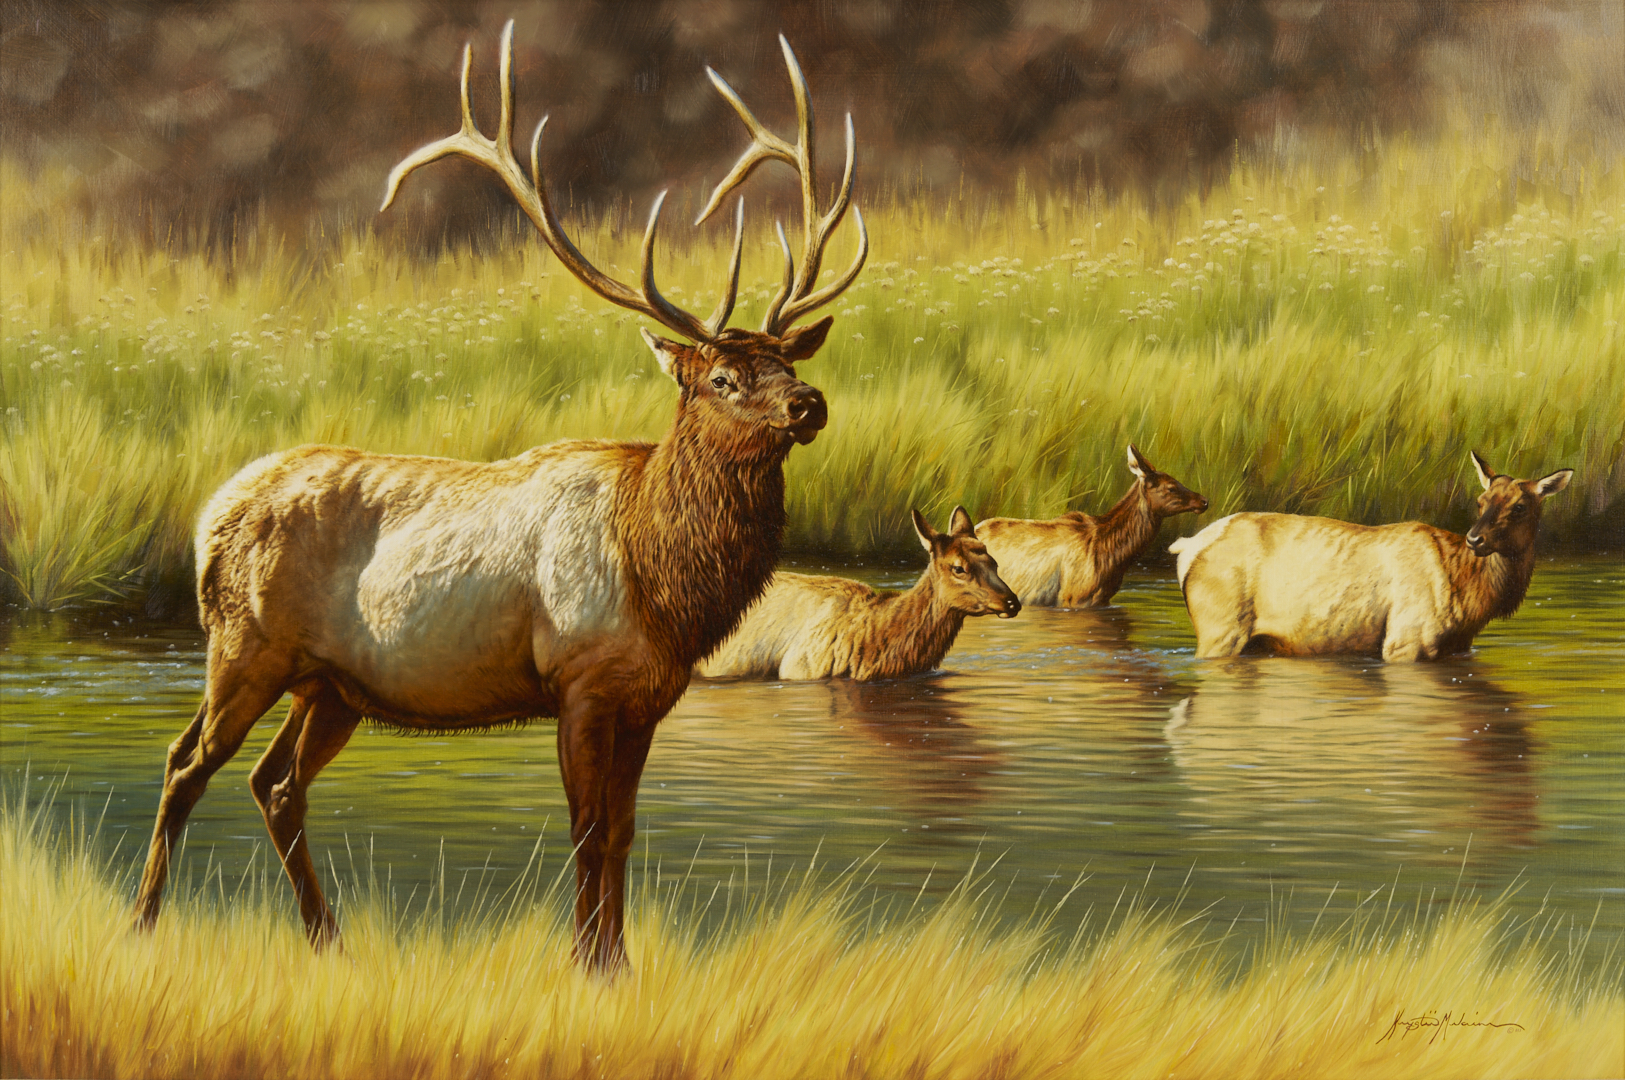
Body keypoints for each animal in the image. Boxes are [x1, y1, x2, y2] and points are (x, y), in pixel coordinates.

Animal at [131, 22, 867, 972]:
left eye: (788, 360)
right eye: (724, 377)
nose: (808, 404)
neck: (660, 578)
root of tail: (208, 515)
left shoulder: (650, 693)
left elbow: (622, 832)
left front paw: (618, 964)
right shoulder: (579, 678)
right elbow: (587, 830)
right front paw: (586, 965)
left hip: (329, 686)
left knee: (274, 782)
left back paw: (329, 939)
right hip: (244, 645)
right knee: (187, 763)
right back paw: (143, 923)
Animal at [1169, 450, 1572, 661]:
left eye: (1520, 506)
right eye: (1480, 501)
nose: (1476, 538)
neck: (1471, 600)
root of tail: (1185, 546)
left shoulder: (1458, 648)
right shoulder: (1406, 639)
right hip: (1220, 626)